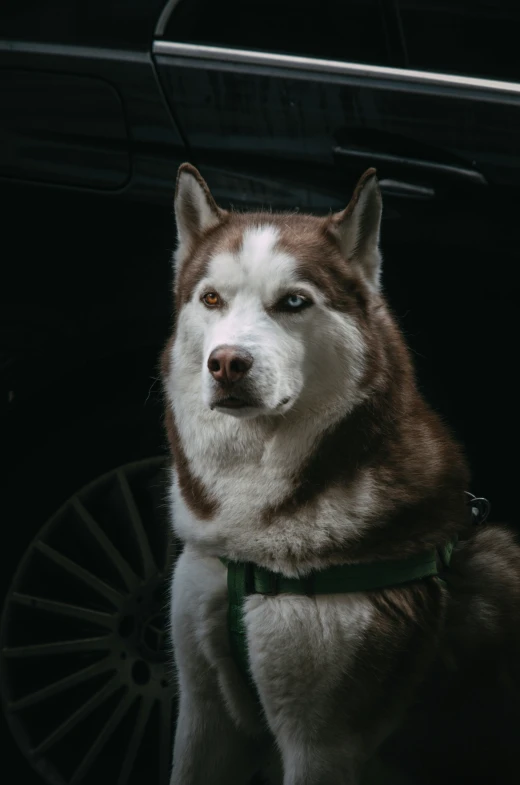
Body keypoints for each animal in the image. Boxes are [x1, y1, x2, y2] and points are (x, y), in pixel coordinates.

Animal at [161, 164, 520, 784]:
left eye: (293, 301)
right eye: (211, 298)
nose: (227, 362)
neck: (251, 541)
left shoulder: (322, 742)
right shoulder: (204, 715)